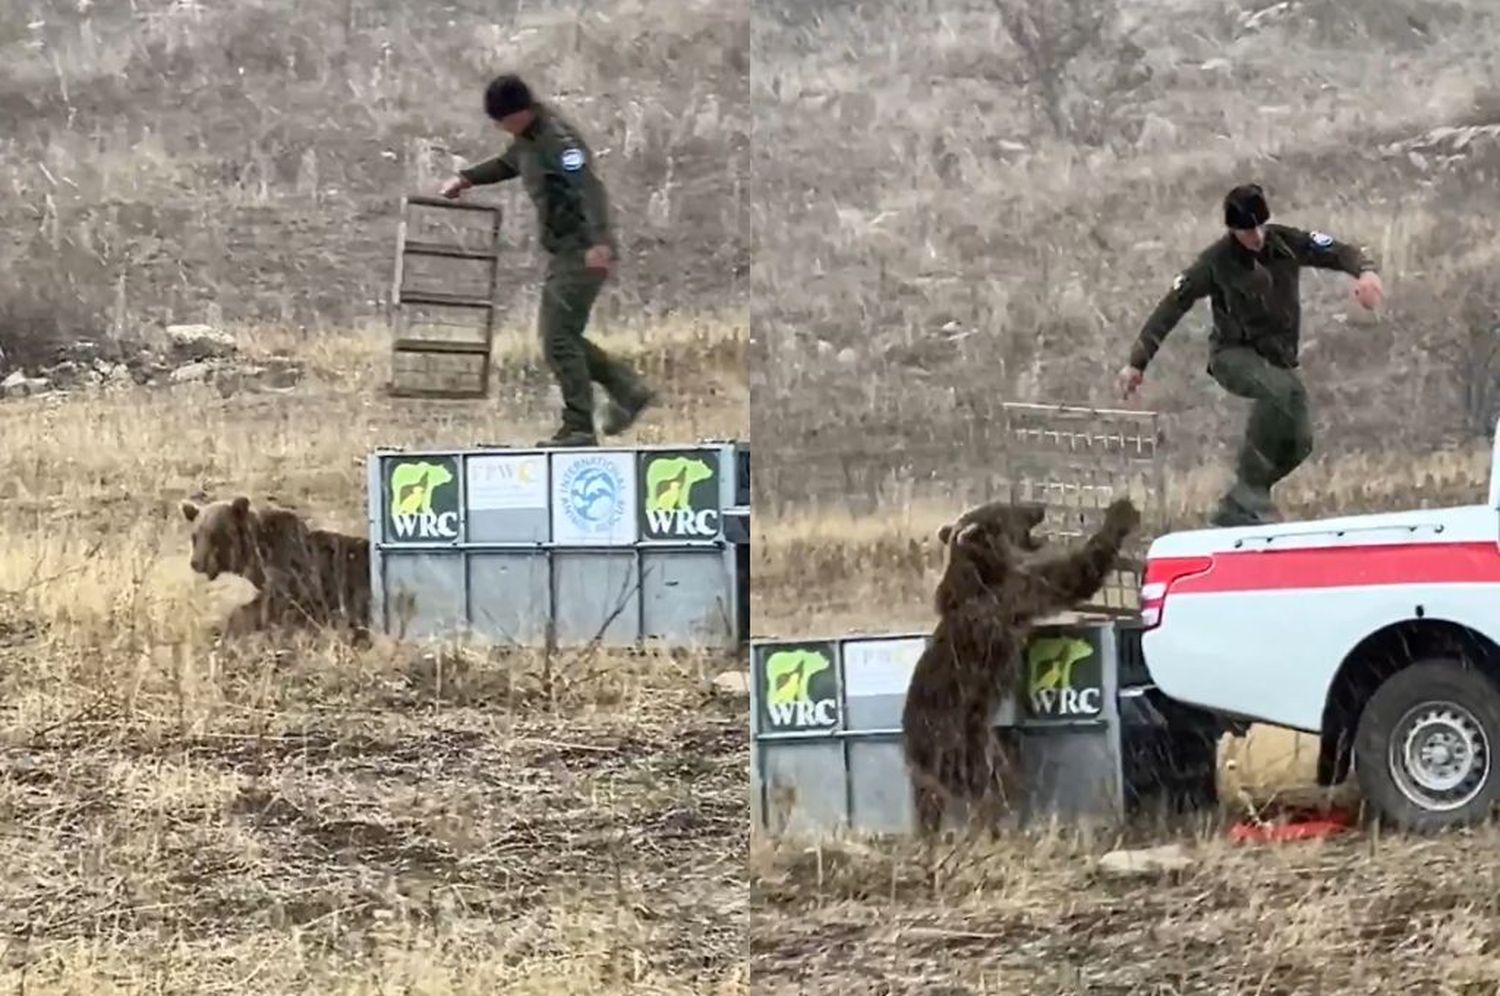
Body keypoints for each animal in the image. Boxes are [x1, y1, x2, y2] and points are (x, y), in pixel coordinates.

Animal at [900, 495, 1134, 834]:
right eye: (1006, 509)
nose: (1038, 507)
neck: (983, 573)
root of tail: (915, 754)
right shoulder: (1013, 594)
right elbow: (1070, 576)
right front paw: (1120, 514)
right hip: (959, 745)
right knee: (986, 788)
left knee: (943, 800)